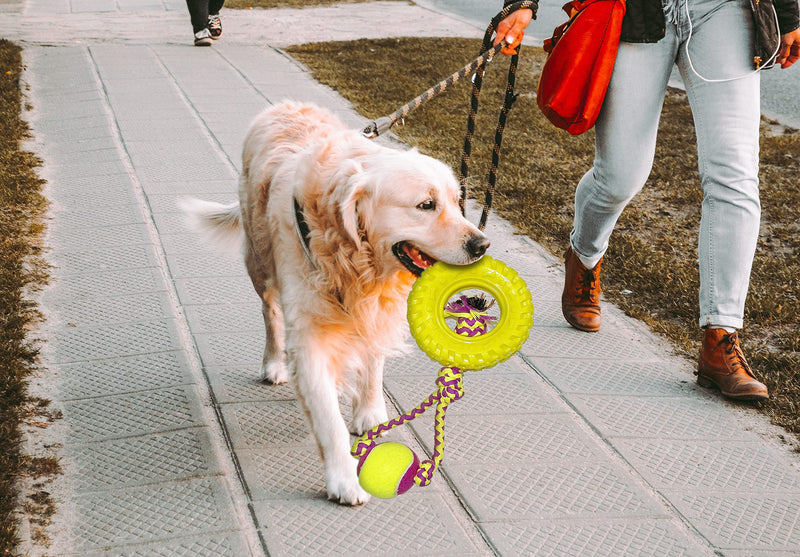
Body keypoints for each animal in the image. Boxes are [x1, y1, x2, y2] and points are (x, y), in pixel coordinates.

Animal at [182, 101, 490, 504]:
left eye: (457, 202)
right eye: (426, 205)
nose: (482, 245)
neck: (355, 260)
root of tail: (283, 104)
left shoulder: (376, 310)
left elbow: (373, 362)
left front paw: (370, 413)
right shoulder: (310, 337)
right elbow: (329, 419)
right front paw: (344, 479)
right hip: (259, 261)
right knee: (270, 312)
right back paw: (274, 363)